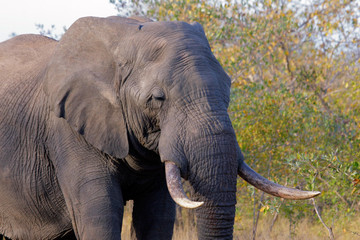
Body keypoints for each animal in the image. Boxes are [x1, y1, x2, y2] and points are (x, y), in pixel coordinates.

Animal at [0, 15, 320, 239]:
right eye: (157, 98)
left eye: (228, 90)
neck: (125, 36)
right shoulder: (69, 134)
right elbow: (100, 219)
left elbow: (157, 218)